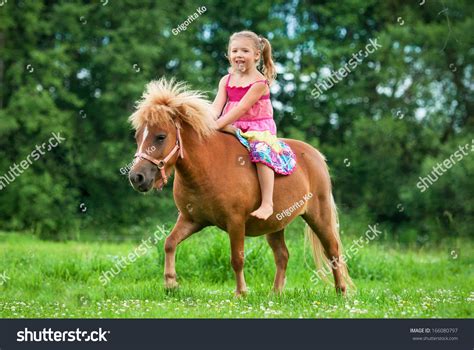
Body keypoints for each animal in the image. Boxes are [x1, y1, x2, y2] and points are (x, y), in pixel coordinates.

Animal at [129, 78, 352, 296]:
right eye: (138, 136)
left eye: (160, 136)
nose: (136, 177)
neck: (207, 168)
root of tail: (316, 156)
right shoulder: (191, 219)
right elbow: (169, 243)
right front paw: (171, 284)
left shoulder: (235, 221)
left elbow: (237, 258)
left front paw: (240, 292)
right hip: (275, 224)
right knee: (282, 255)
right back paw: (276, 294)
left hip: (319, 216)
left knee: (333, 250)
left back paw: (340, 291)